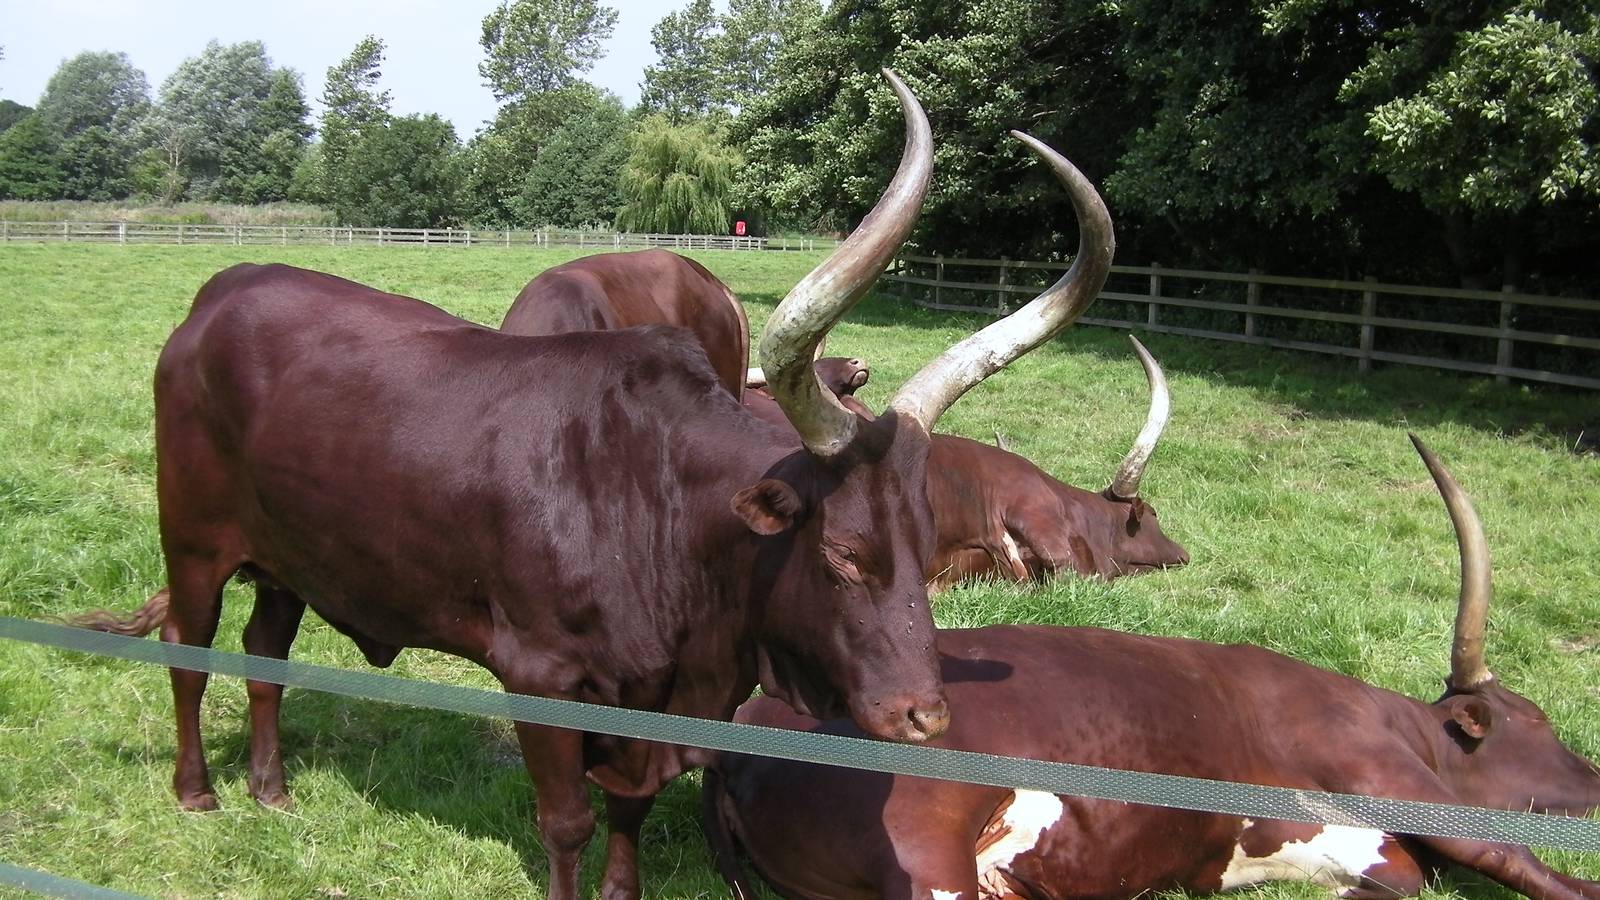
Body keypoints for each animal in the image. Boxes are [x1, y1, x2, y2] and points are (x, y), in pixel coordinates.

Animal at [702, 435, 1600, 900]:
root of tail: (740, 740)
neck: (1400, 722)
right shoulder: (1386, 772)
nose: (1594, 779)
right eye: (1540, 722)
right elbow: (1520, 860)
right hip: (925, 853)